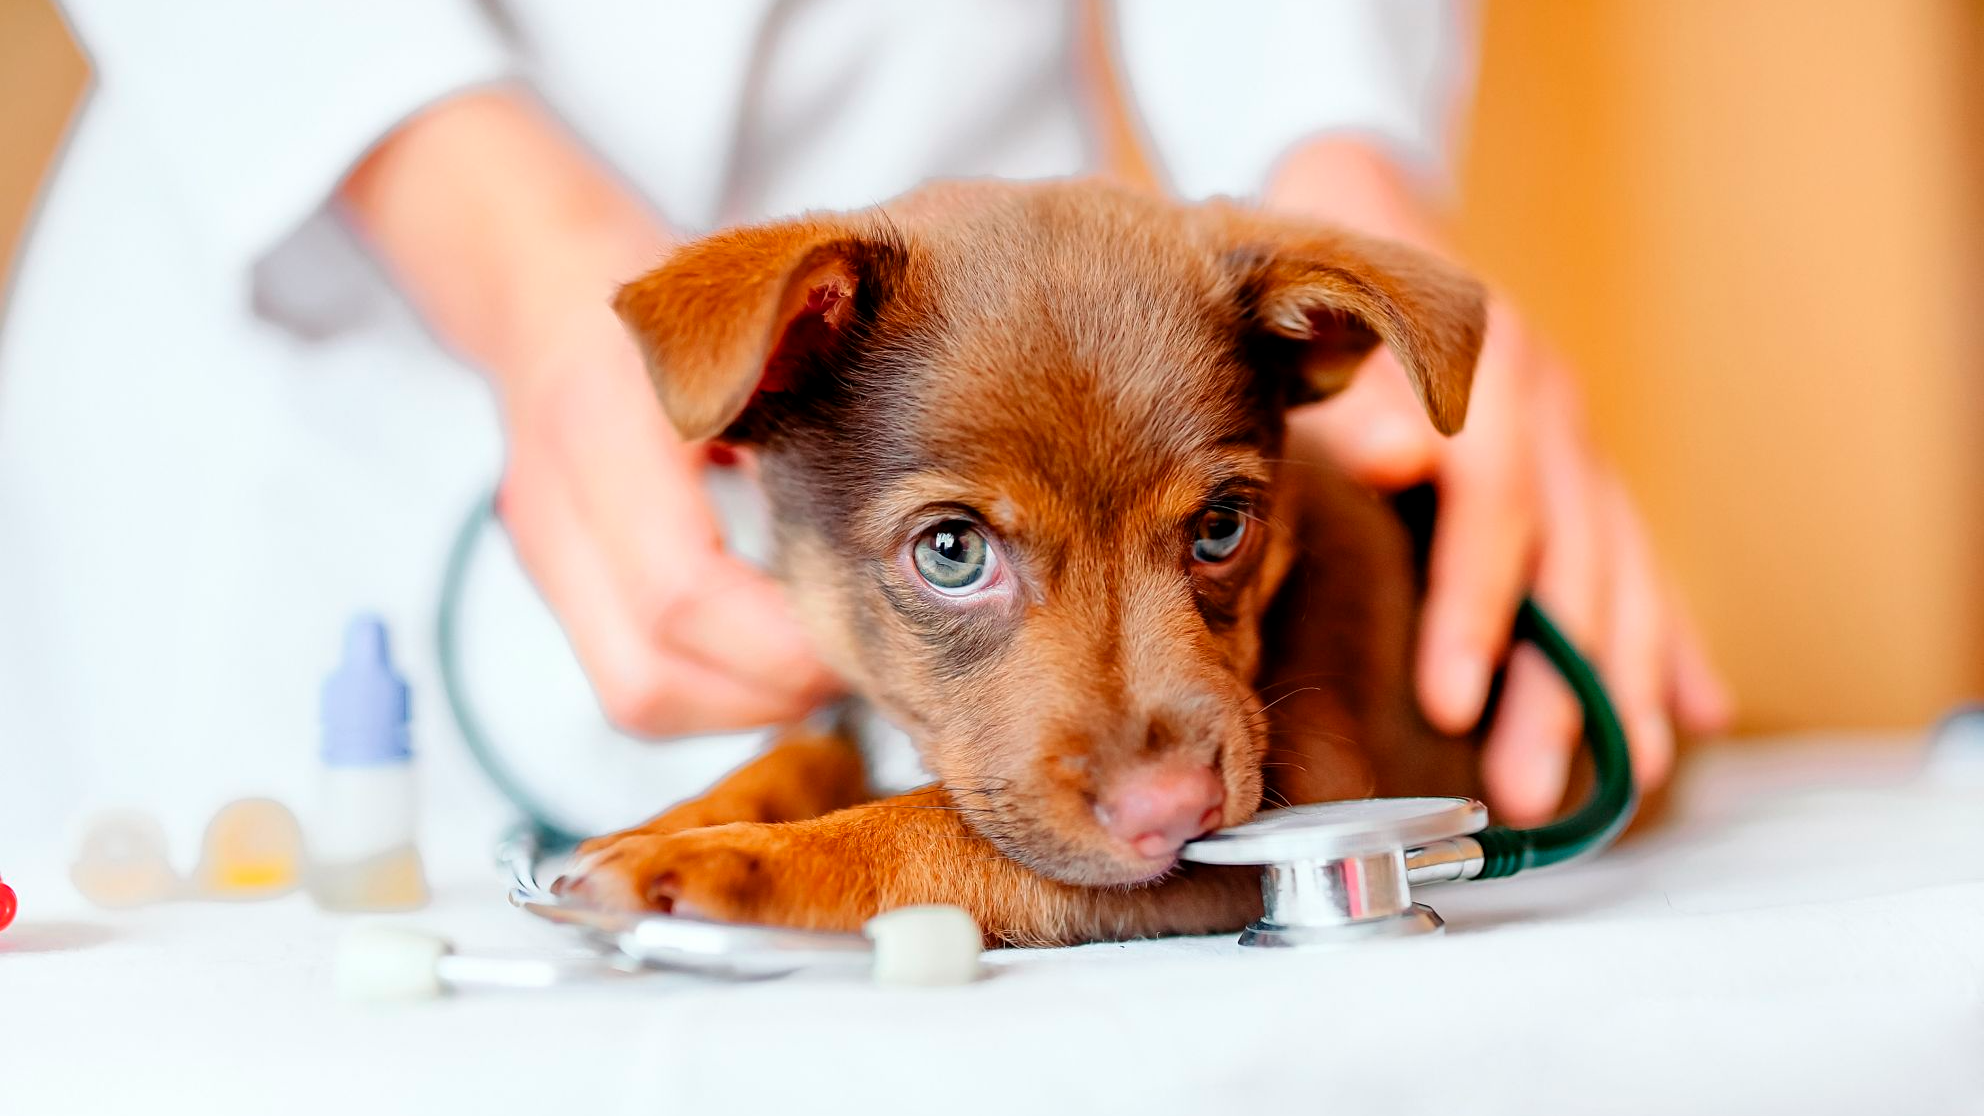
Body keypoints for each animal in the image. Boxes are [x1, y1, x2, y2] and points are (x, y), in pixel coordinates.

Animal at [559, 180, 1491, 937]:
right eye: (951, 552)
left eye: (1222, 527)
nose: (1173, 813)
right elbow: (802, 751)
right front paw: (670, 823)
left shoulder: (1304, 798)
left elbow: (938, 831)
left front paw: (737, 858)